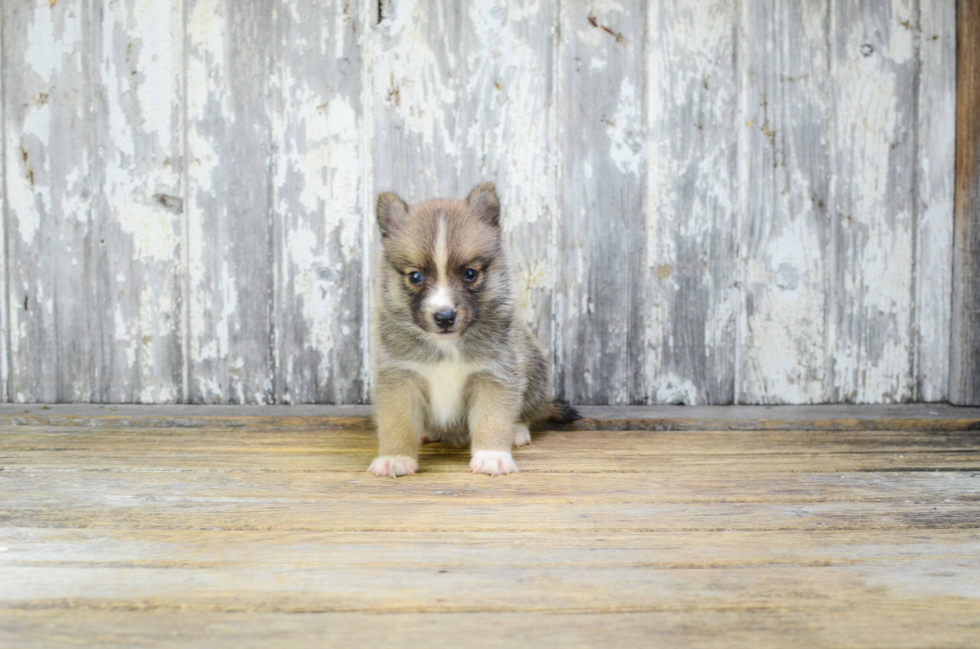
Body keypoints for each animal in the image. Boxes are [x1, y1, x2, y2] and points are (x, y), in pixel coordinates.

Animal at [368, 182, 580, 476]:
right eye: (415, 277)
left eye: (470, 273)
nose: (444, 317)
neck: (446, 346)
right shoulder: (400, 377)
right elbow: (397, 423)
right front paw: (396, 457)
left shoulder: (494, 375)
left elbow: (494, 417)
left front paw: (492, 455)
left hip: (535, 370)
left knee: (529, 411)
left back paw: (517, 431)